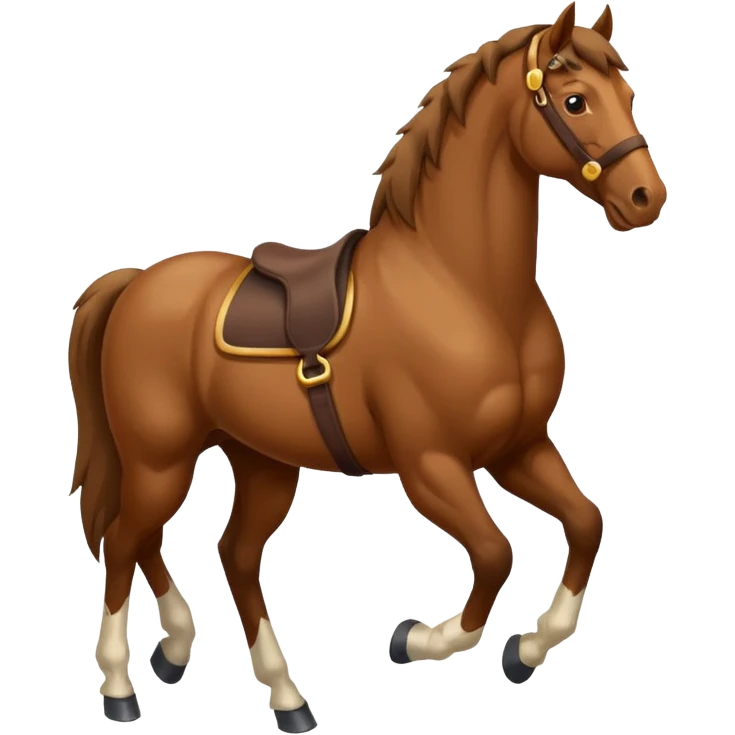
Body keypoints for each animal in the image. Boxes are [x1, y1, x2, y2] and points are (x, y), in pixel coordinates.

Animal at [67, 2, 666, 731]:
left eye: (628, 95)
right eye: (576, 100)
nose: (646, 197)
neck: (460, 286)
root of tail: (133, 283)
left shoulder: (518, 447)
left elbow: (584, 523)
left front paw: (524, 651)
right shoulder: (430, 464)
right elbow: (495, 553)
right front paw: (415, 638)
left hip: (257, 460)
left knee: (219, 552)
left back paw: (264, 688)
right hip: (161, 458)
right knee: (124, 539)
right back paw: (121, 686)